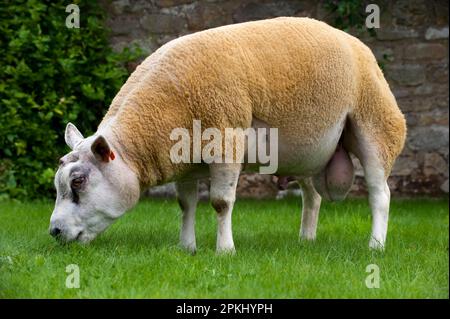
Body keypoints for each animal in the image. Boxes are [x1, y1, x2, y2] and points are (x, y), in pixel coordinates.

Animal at [50, 17, 408, 254]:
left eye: (78, 182)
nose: (54, 231)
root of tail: (357, 45)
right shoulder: (185, 159)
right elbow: (186, 204)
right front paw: (187, 247)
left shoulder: (226, 141)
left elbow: (221, 202)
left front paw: (225, 251)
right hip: (308, 152)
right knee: (313, 196)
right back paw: (306, 240)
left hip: (376, 125)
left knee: (380, 194)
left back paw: (375, 245)